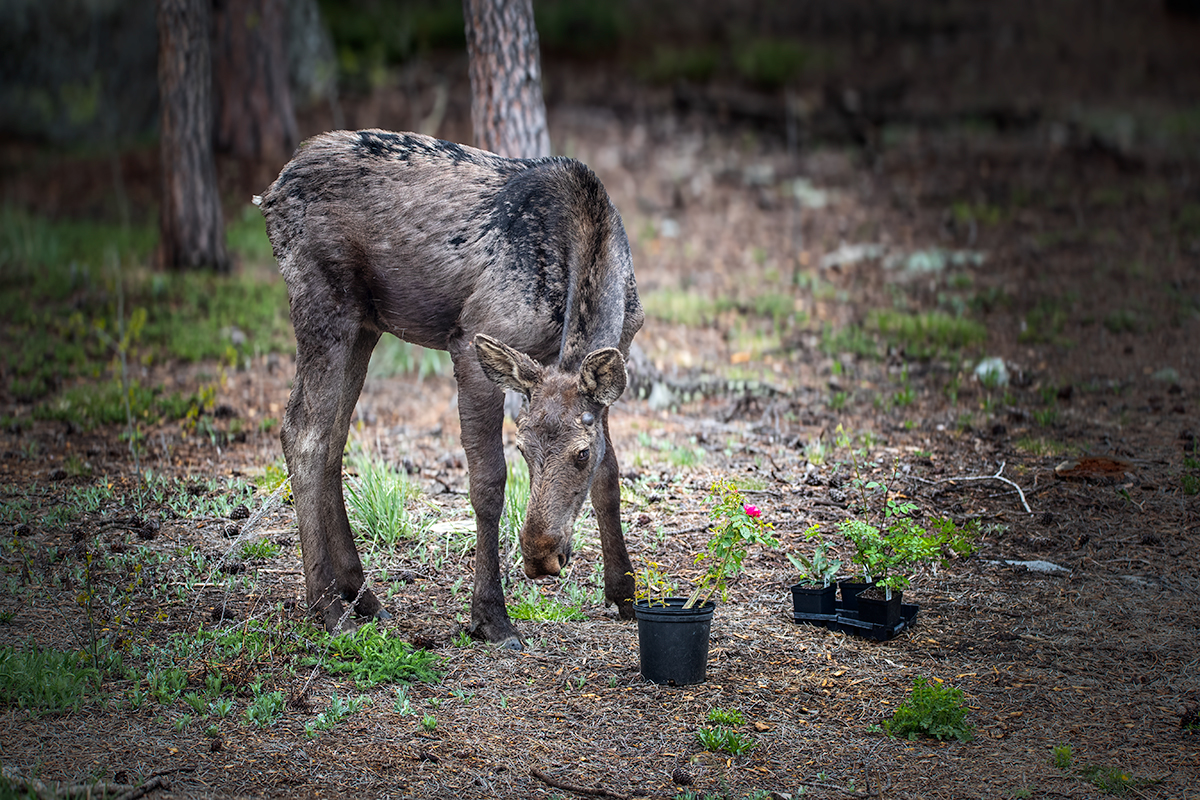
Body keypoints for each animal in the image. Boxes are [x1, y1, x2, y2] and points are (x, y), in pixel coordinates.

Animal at [258, 129, 643, 650]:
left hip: (365, 324)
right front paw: (491, 616)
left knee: (334, 437)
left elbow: (610, 478)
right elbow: (487, 484)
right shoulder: (472, 342)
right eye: (523, 449)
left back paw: (363, 596)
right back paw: (328, 608)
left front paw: (624, 593)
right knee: (303, 433)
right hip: (323, 303)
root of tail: (272, 193)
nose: (540, 557)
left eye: (580, 454)